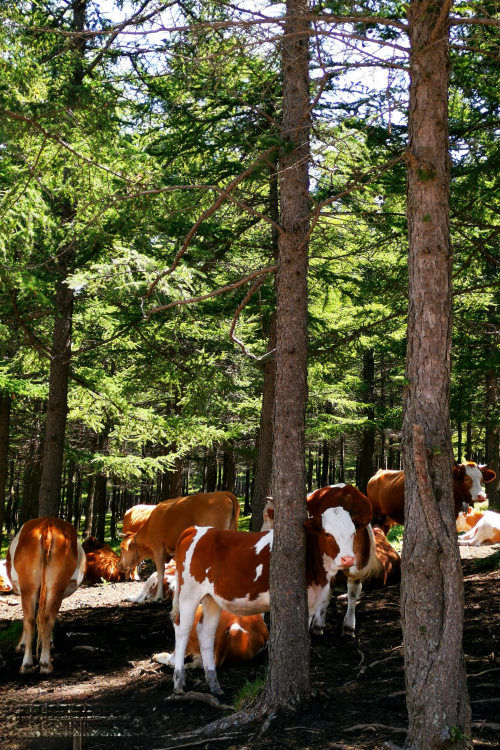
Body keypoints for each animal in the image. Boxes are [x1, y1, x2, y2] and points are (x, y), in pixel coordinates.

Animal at [6, 516, 85, 676]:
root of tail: (47, 524)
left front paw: (22, 645)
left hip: (28, 586)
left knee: (30, 619)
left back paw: (29, 664)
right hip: (56, 586)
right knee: (47, 618)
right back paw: (44, 662)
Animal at [170, 506, 366, 700]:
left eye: (353, 533)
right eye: (327, 534)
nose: (348, 559)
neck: (318, 578)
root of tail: (196, 529)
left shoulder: (310, 604)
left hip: (211, 598)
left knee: (206, 633)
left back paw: (214, 684)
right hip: (189, 593)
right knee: (182, 629)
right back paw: (179, 682)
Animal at [368, 464, 496, 536]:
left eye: (481, 479)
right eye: (466, 479)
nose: (482, 496)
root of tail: (379, 473)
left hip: (386, 520)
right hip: (377, 515)